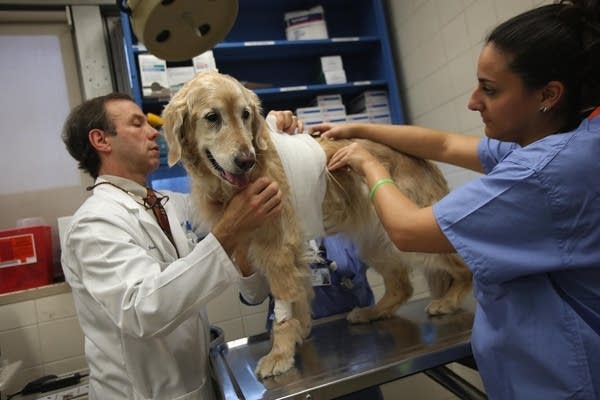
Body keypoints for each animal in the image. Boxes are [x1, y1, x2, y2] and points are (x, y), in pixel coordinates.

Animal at [162, 71, 472, 378]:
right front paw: (300, 332)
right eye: (212, 117)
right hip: (376, 241)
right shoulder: (282, 249)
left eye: (246, 114)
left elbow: (284, 305)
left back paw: (449, 300)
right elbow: (298, 298)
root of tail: (421, 158)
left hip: (411, 232)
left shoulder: (278, 248)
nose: (246, 160)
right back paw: (371, 312)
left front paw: (280, 353)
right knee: (402, 286)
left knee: (462, 263)